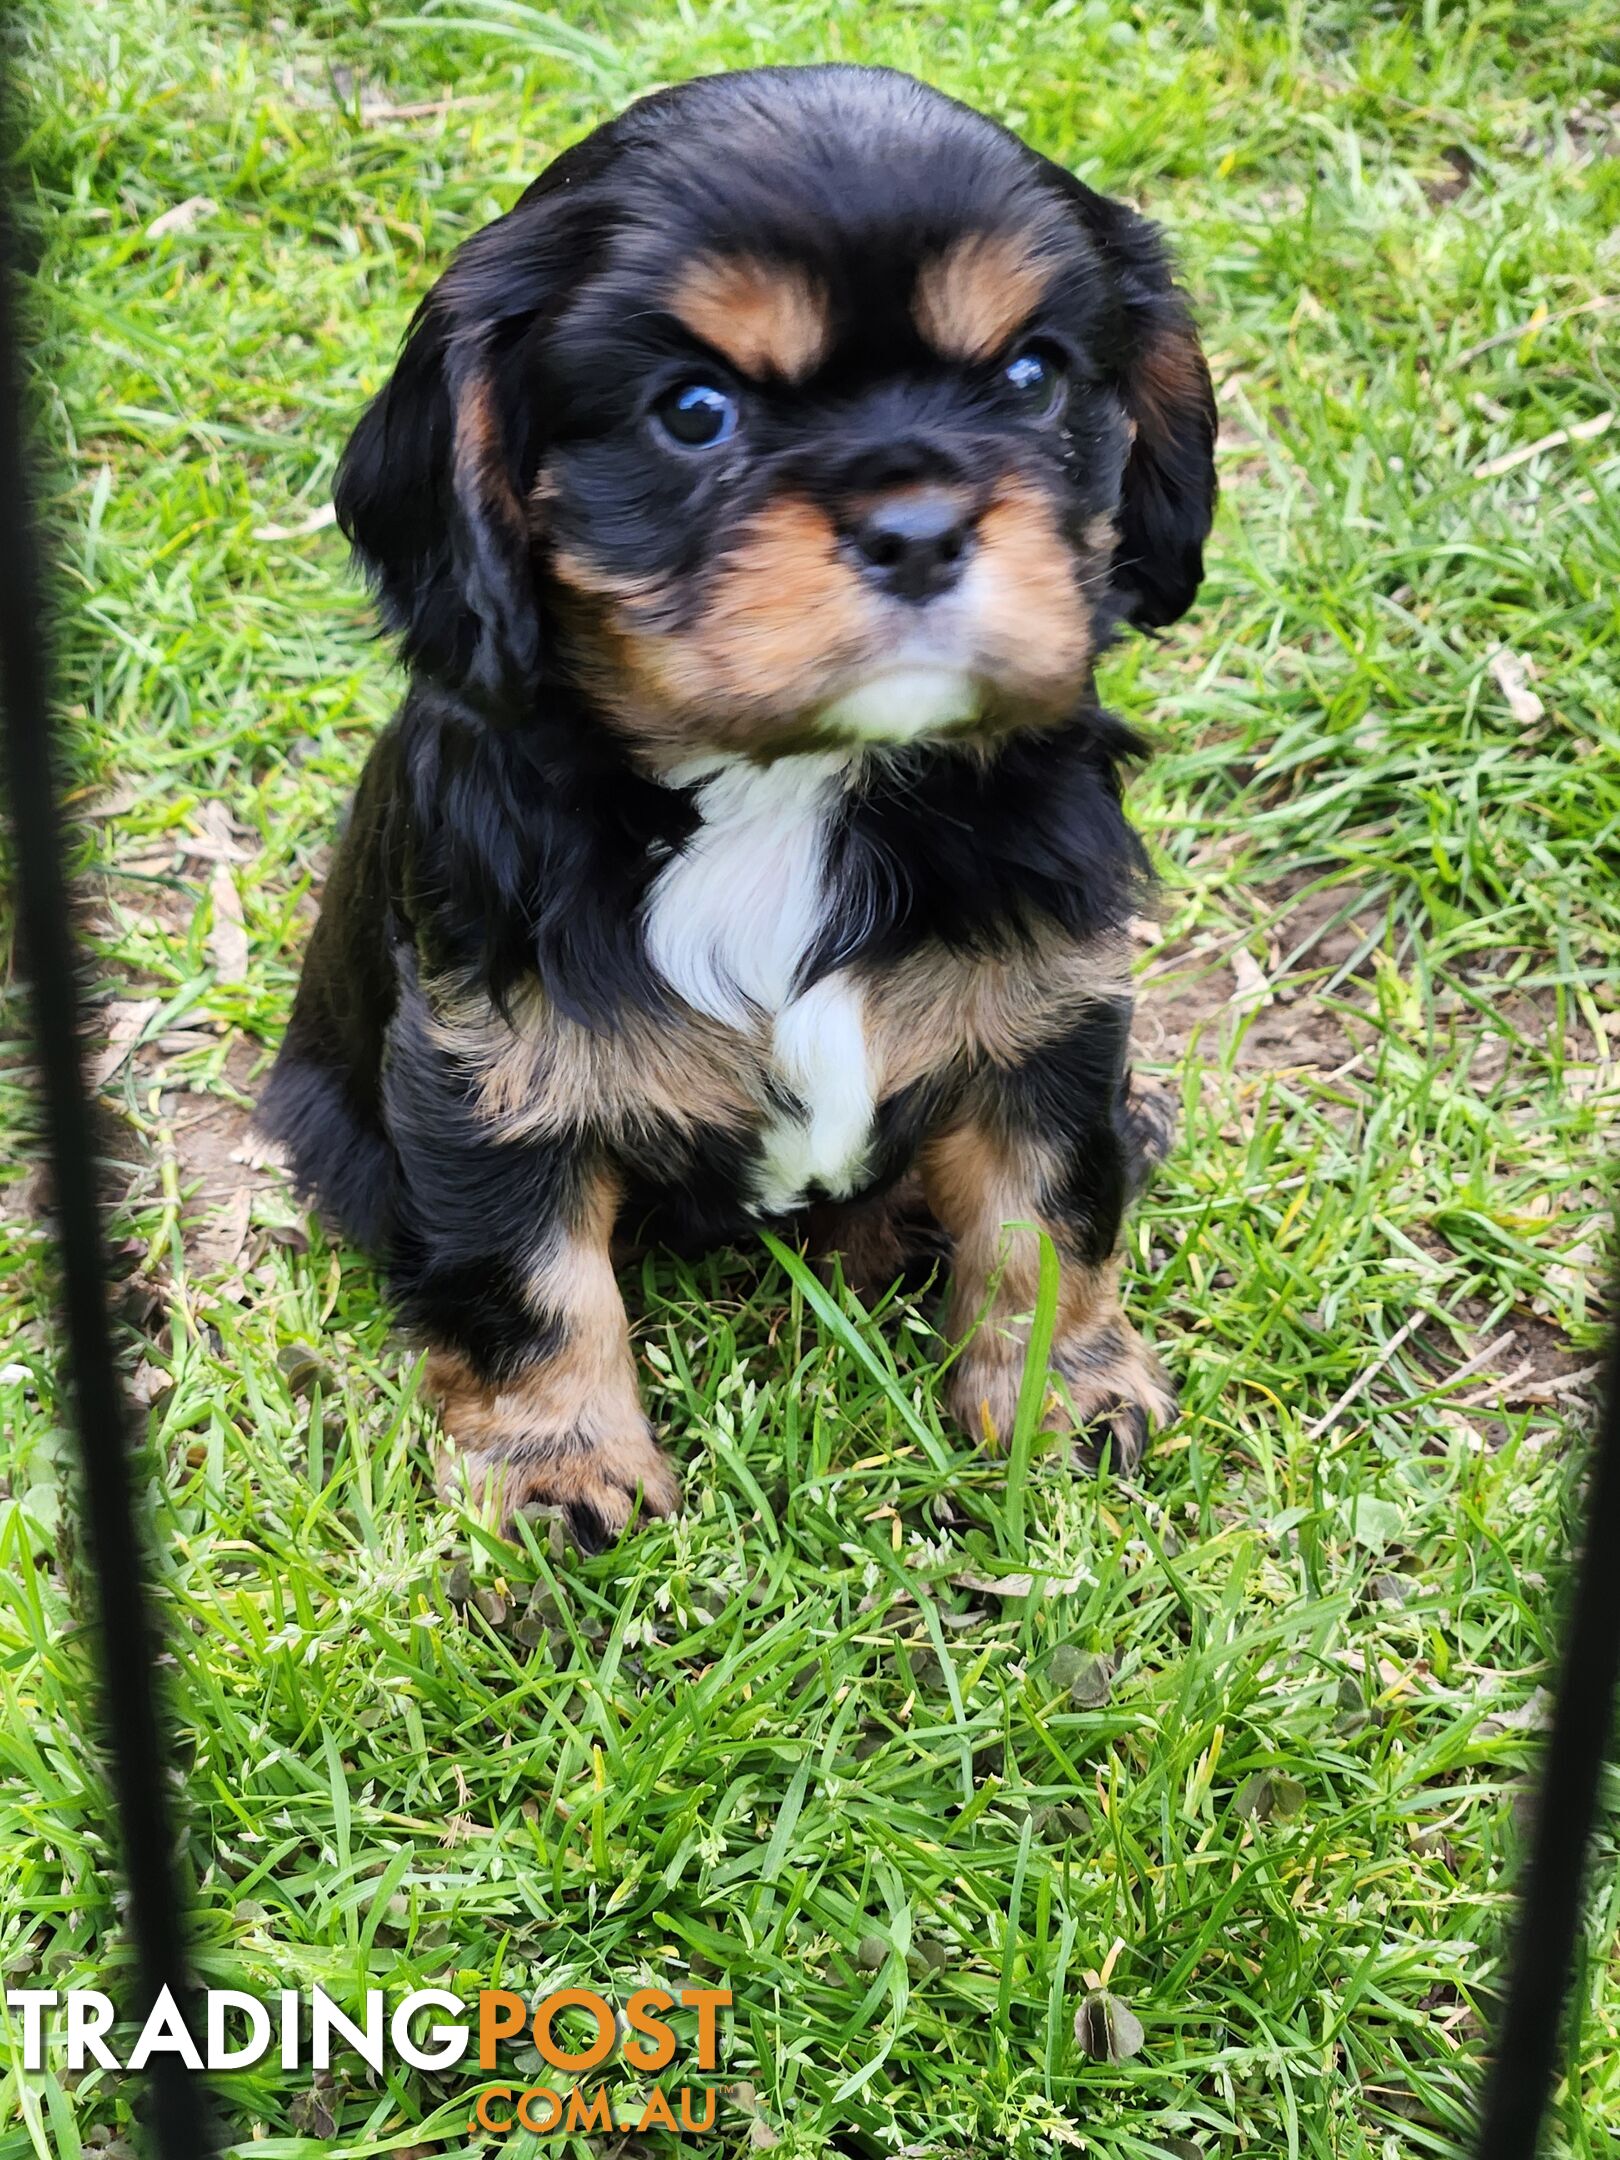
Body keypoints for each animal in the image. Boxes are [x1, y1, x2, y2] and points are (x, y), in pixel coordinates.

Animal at [260, 67, 1209, 1546]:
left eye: (1033, 375)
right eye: (694, 412)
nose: (922, 527)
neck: (788, 783)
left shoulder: (1048, 1015)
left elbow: (1046, 1219)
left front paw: (1068, 1400)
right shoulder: (487, 1071)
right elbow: (531, 1280)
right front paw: (562, 1474)